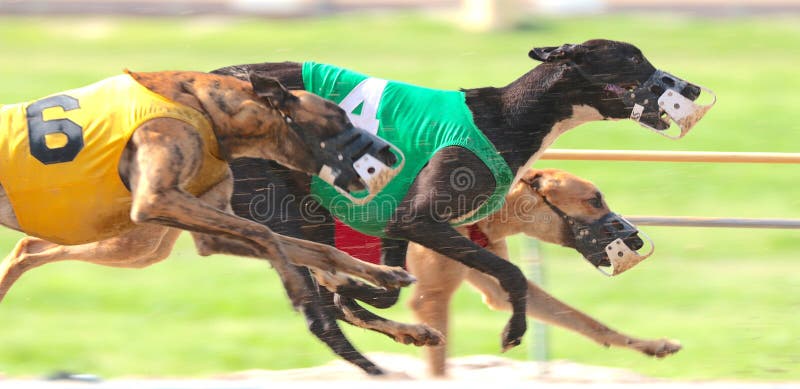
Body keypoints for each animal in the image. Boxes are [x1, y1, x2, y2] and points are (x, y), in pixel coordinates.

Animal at [0, 69, 412, 348]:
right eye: (341, 117)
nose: (391, 153)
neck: (209, 111)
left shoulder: (208, 231)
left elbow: (315, 248)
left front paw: (381, 276)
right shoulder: (158, 199)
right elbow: (266, 234)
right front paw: (299, 289)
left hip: (131, 243)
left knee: (28, 248)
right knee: (28, 249)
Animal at [216, 38, 716, 372]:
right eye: (633, 58)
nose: (692, 90)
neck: (507, 117)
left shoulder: (398, 227)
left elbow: (383, 289)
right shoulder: (420, 220)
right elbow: (512, 275)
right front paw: (513, 332)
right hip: (288, 207)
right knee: (318, 317)